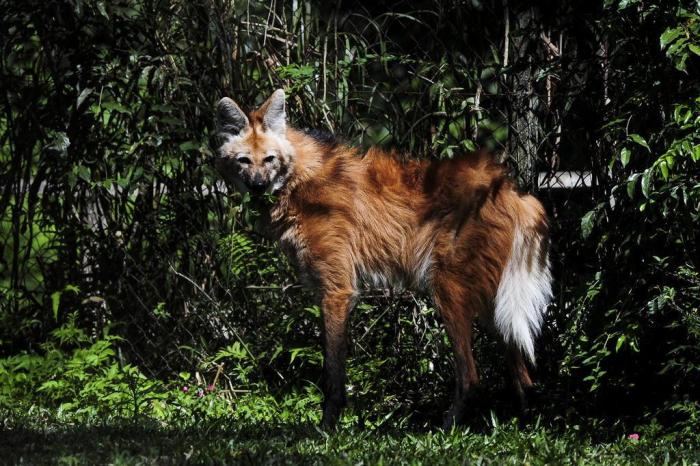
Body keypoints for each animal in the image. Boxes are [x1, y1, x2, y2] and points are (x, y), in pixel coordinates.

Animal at [213, 88, 552, 430]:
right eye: (244, 160)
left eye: (269, 159)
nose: (257, 186)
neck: (298, 178)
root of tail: (511, 189)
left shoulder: (337, 291)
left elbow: (333, 371)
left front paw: (327, 427)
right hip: (489, 299)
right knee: (520, 368)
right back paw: (524, 422)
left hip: (448, 290)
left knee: (471, 376)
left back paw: (445, 430)